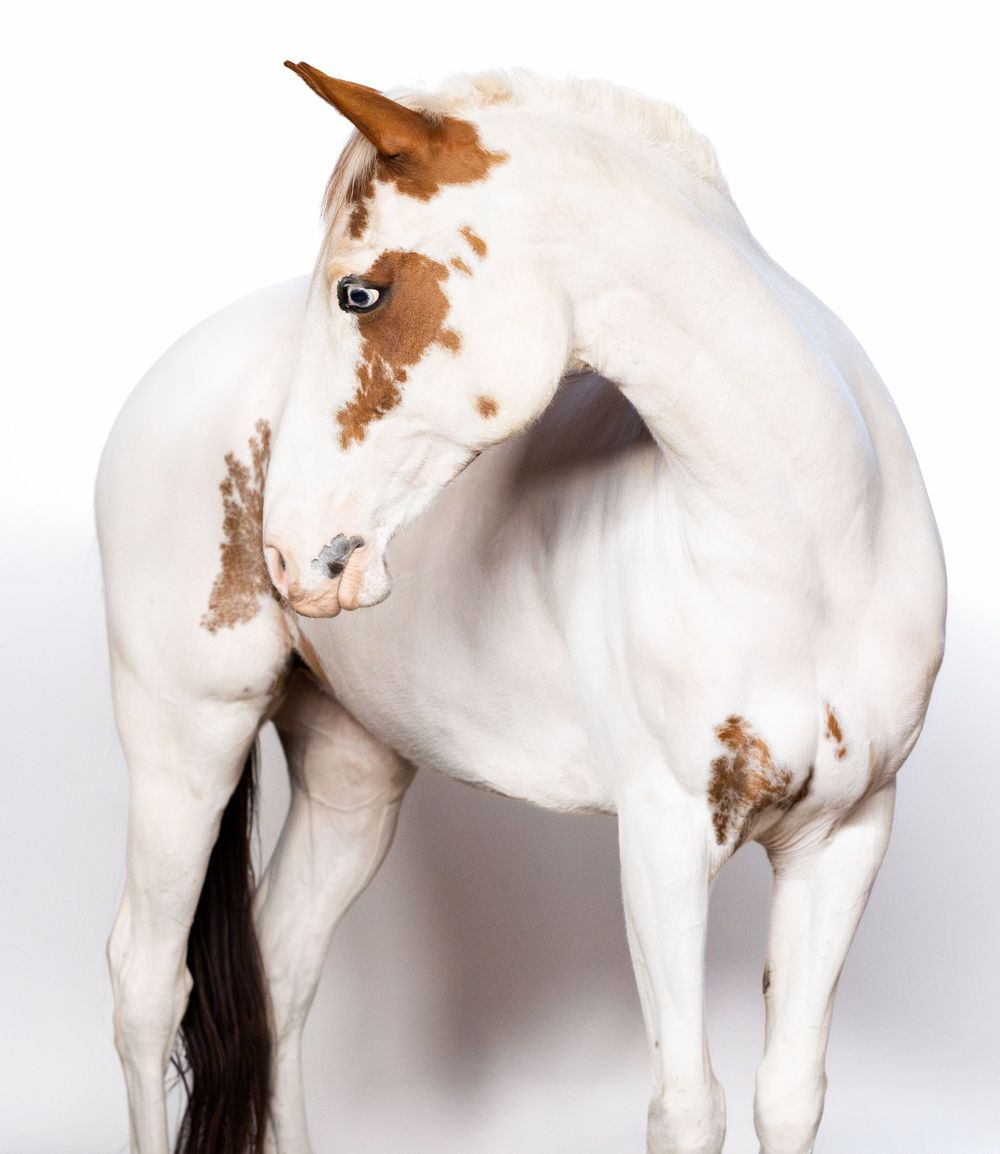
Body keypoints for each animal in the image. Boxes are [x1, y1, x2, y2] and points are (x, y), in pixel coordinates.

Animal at [96, 62, 946, 1154]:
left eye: (359, 292)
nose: (290, 555)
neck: (808, 544)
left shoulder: (845, 833)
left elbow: (789, 1093)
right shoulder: (665, 836)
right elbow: (688, 1105)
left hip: (351, 770)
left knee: (283, 973)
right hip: (186, 731)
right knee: (148, 982)